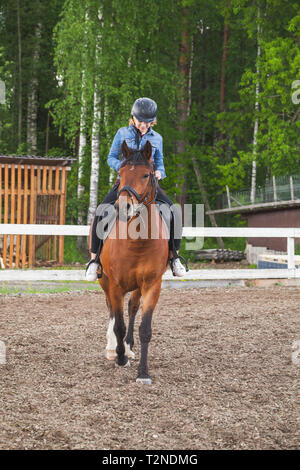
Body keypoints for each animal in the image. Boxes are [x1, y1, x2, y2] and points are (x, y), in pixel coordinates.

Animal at [98, 140, 169, 386]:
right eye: (120, 173)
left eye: (147, 174)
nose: (123, 207)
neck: (138, 242)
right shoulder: (115, 285)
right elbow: (118, 324)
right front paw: (120, 358)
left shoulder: (152, 285)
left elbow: (144, 328)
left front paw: (143, 373)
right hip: (105, 282)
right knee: (112, 310)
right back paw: (113, 349)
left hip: (138, 287)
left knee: (132, 308)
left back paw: (128, 347)